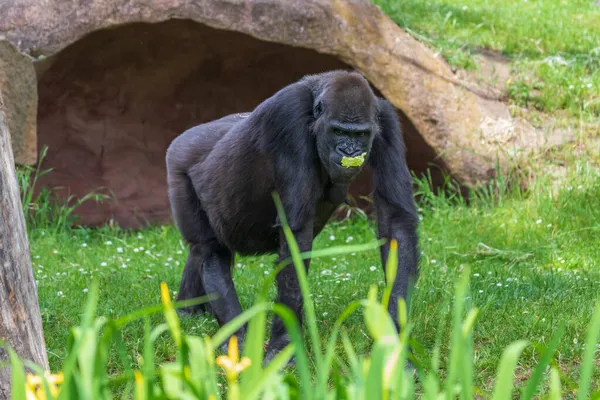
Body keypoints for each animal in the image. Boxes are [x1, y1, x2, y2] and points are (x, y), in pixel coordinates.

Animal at [164, 69, 418, 362]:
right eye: (338, 131)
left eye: (361, 134)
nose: (350, 152)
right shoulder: (289, 115)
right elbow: (295, 232)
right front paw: (284, 344)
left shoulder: (386, 122)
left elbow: (396, 219)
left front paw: (397, 339)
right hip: (179, 164)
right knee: (209, 250)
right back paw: (233, 334)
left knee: (201, 252)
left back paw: (189, 310)